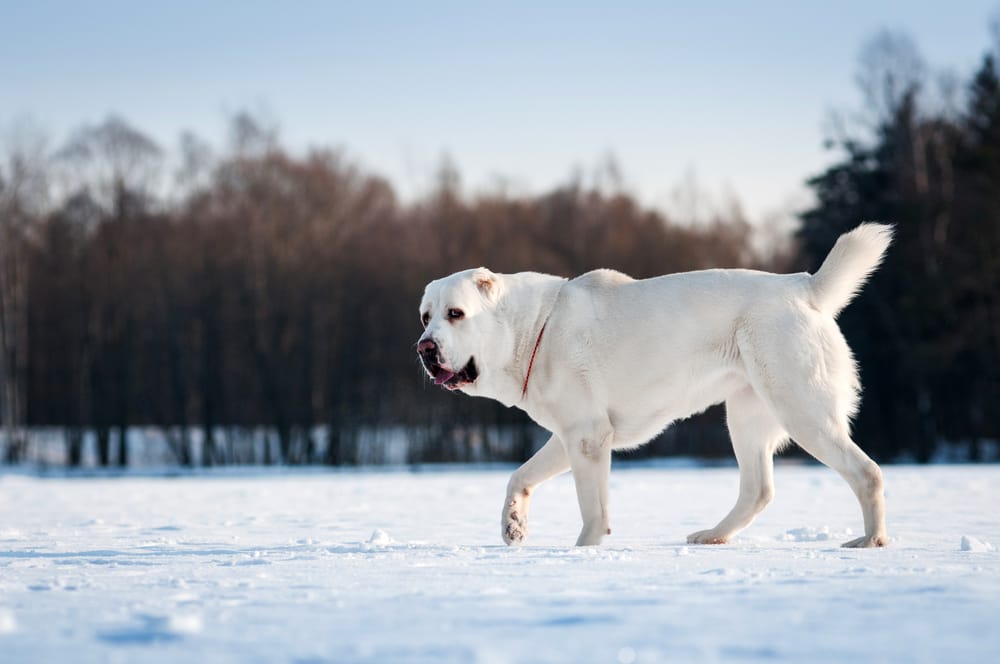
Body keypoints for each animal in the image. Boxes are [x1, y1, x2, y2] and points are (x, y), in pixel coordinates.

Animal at [414, 226, 892, 548]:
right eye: (425, 316)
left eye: (456, 314)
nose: (424, 348)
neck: (531, 331)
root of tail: (803, 286)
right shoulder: (575, 434)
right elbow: (520, 475)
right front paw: (513, 525)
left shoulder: (587, 437)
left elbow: (593, 508)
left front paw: (583, 549)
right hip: (747, 414)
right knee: (758, 490)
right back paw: (714, 535)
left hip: (800, 406)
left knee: (866, 472)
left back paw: (871, 540)